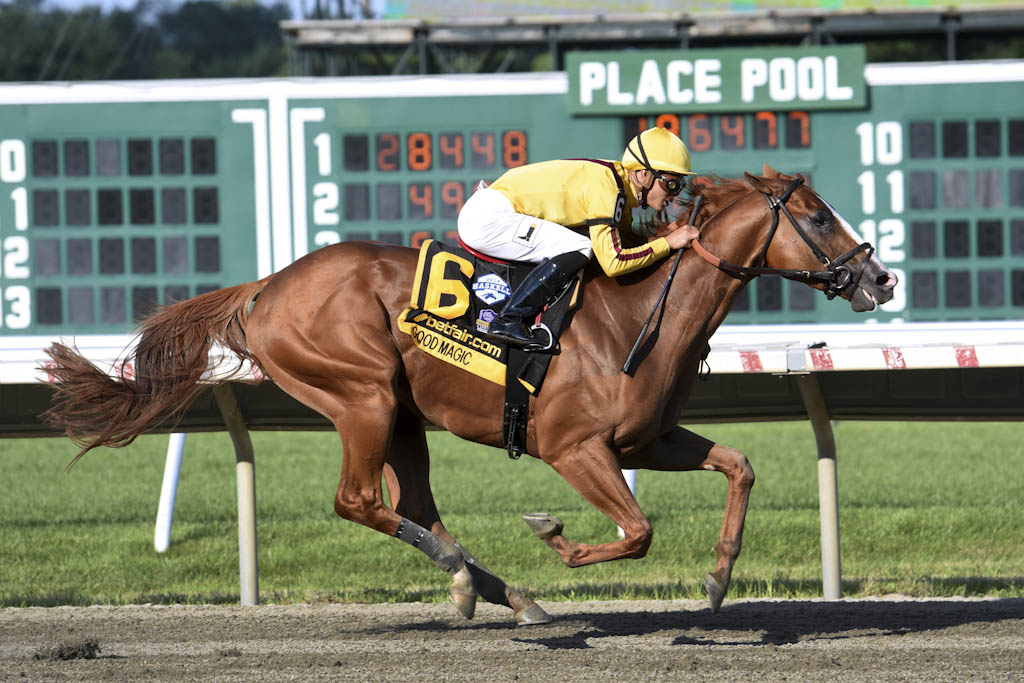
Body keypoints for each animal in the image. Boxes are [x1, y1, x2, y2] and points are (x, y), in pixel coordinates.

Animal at [46, 165, 897, 626]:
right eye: (817, 215)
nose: (880, 276)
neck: (633, 317)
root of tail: (266, 287)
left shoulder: (646, 439)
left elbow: (739, 466)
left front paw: (718, 578)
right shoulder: (572, 447)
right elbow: (637, 530)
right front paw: (555, 534)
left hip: (402, 413)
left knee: (413, 505)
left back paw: (509, 593)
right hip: (362, 394)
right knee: (360, 499)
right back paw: (465, 574)